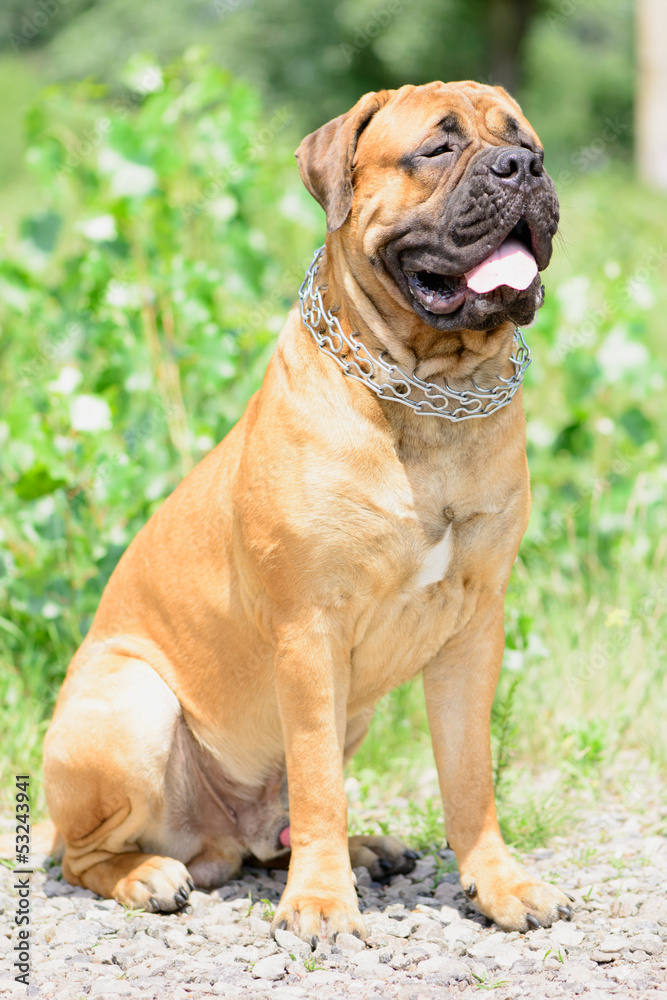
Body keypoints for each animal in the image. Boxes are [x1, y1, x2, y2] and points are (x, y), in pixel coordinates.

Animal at [41, 80, 576, 944]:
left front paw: (499, 884)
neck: (426, 392)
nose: (520, 167)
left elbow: (469, 776)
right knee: (82, 855)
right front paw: (322, 902)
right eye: (437, 147)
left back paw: (363, 850)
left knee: (272, 833)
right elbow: (319, 775)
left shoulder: (473, 628)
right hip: (134, 704)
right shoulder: (309, 628)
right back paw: (149, 875)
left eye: (525, 141)